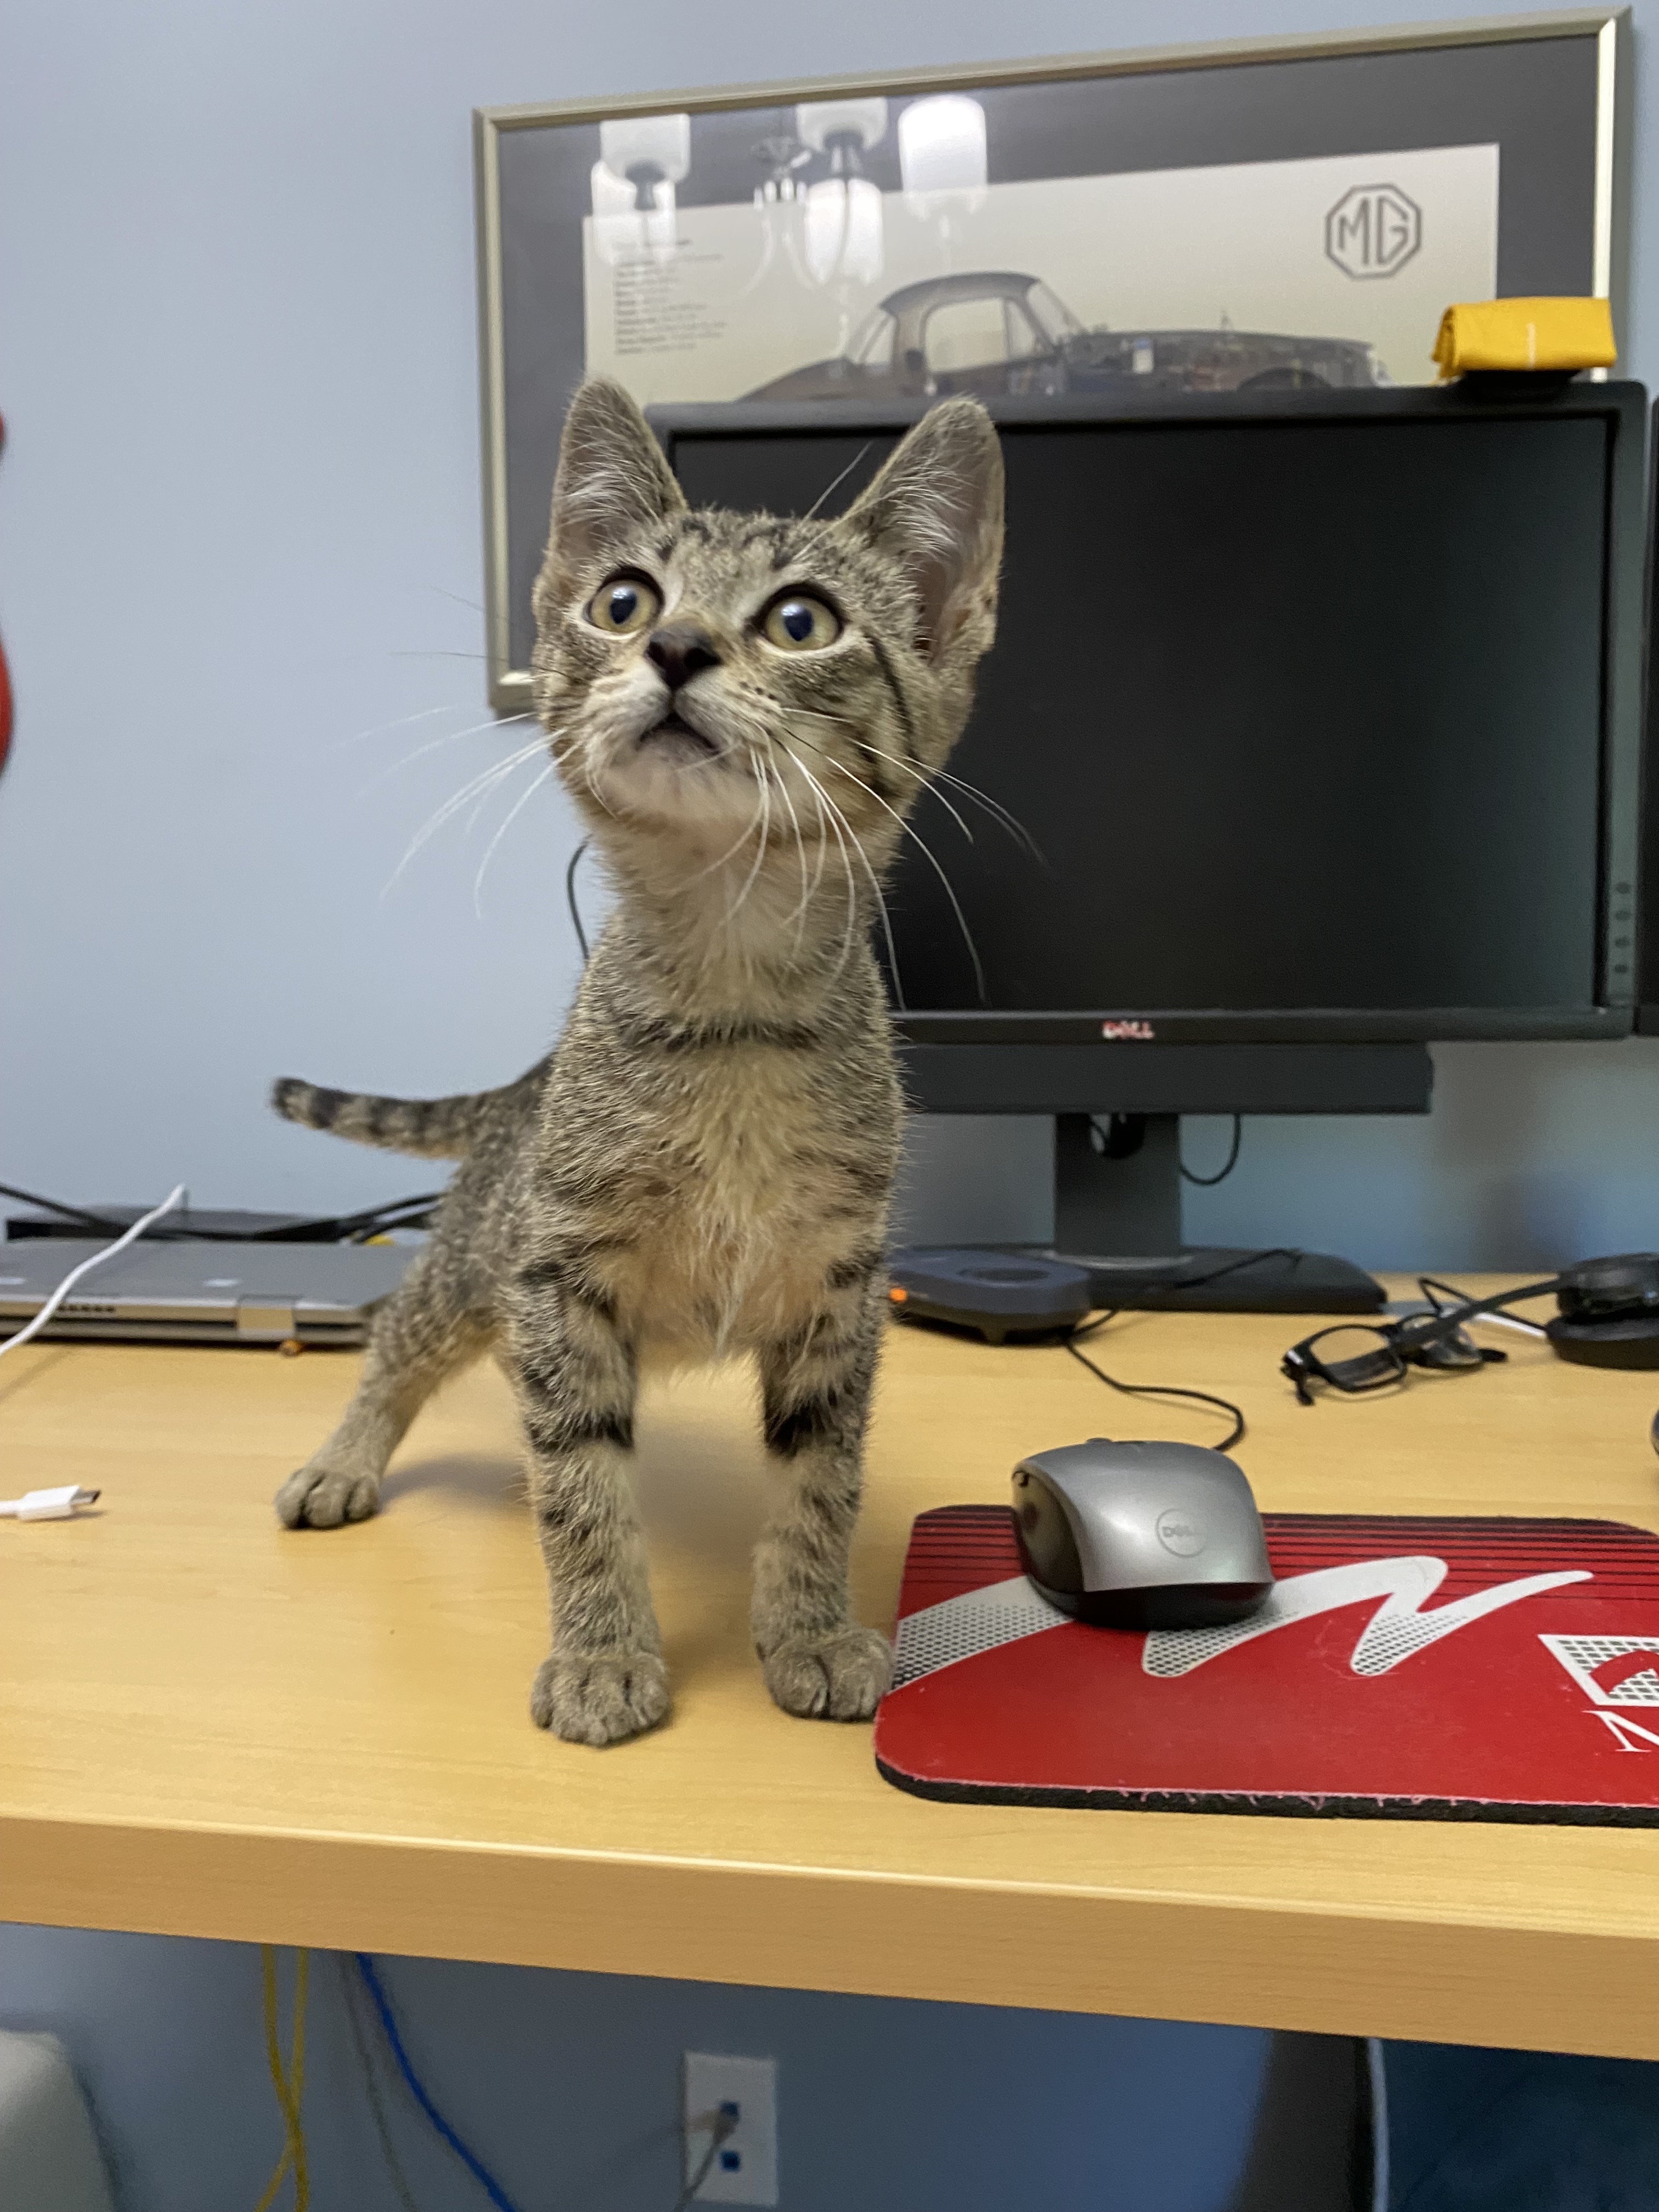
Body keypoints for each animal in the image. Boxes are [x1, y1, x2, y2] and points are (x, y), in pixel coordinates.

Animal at [276, 371, 1000, 1734]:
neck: (733, 1008)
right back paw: (343, 1458)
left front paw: (808, 1627)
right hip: (483, 1258)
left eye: (802, 621)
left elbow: (820, 1478)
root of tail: (522, 1085)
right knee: (397, 1337)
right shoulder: (557, 1279)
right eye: (623, 601)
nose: (675, 649)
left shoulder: (838, 1288)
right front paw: (604, 1651)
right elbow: (582, 1486)